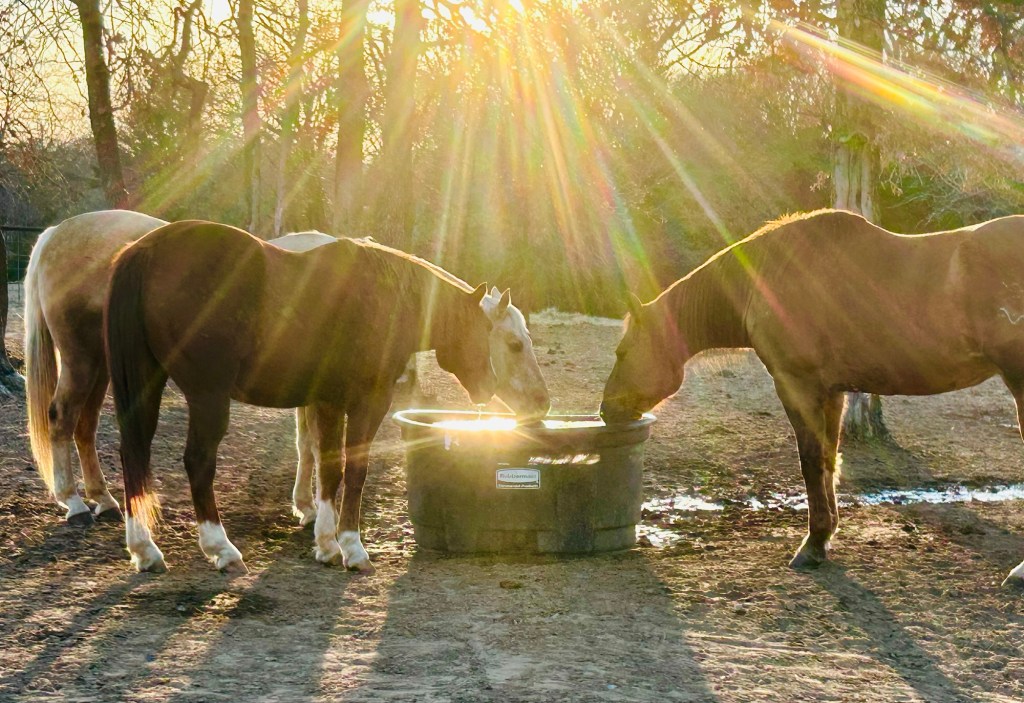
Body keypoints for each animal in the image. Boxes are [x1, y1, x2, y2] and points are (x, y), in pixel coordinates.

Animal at [25, 212, 548, 527]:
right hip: (85, 362)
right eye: (514, 344)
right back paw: (74, 499)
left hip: (106, 368)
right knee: (63, 419)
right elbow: (316, 448)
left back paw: (103, 497)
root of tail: (54, 235)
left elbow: (309, 446)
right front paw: (315, 513)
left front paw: (308, 508)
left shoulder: (312, 392)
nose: (542, 405)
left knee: (86, 426)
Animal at [105, 220, 496, 574]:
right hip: (208, 396)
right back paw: (221, 549)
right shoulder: (368, 404)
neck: (383, 298)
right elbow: (354, 470)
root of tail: (148, 249)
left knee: (134, 453)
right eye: (483, 329)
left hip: (149, 383)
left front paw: (327, 544)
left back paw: (145, 550)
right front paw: (351, 547)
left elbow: (328, 468)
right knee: (198, 461)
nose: (489, 387)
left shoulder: (327, 403)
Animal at [599, 209, 1024, 587]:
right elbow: (829, 460)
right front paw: (827, 535)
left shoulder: (796, 385)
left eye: (622, 352)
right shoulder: (831, 393)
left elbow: (809, 461)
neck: (768, 278)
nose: (607, 410)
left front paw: (813, 544)